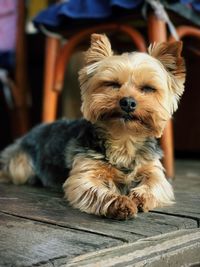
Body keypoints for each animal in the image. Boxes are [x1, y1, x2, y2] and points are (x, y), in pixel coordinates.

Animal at [0, 34, 186, 221]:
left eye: (148, 88)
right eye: (112, 84)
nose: (128, 102)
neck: (124, 139)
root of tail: (33, 130)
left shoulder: (153, 169)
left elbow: (154, 184)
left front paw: (139, 198)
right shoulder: (85, 172)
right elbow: (95, 190)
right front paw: (120, 203)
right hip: (20, 165)